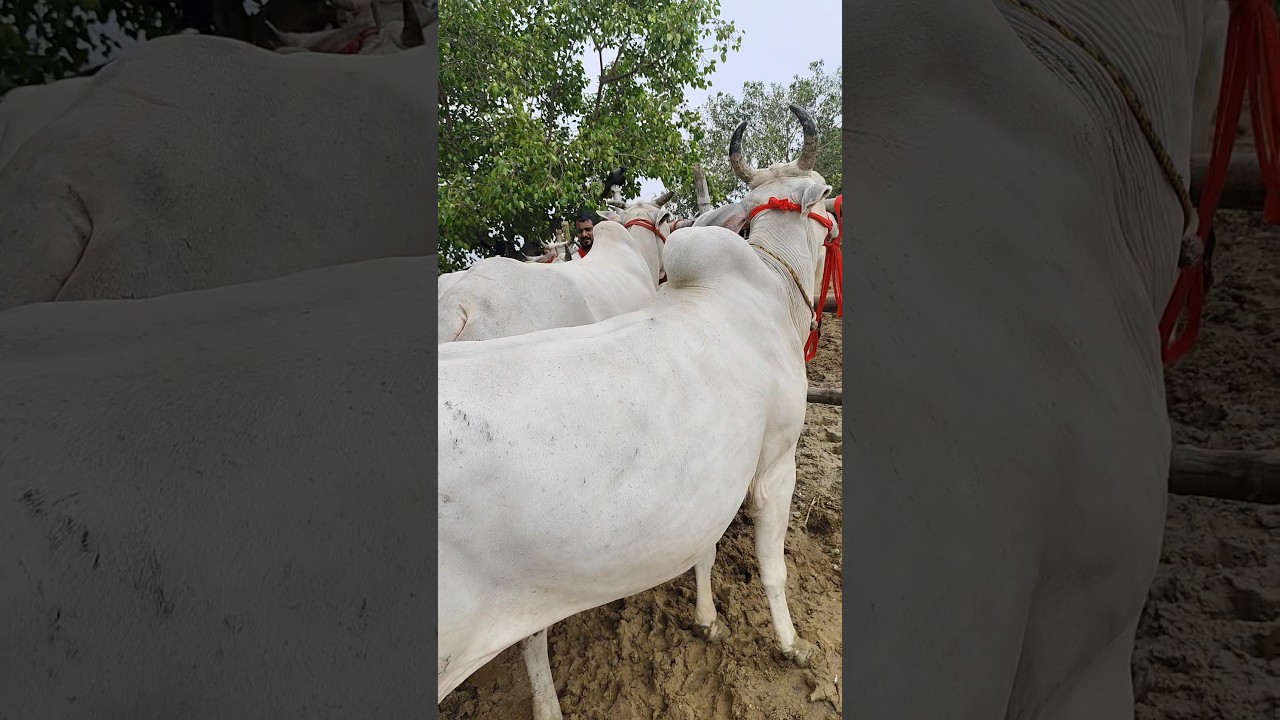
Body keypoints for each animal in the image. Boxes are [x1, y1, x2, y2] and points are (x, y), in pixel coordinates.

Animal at [438, 105, 835, 719]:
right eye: (827, 199)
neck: (763, 284)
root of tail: (455, 305)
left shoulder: (712, 478)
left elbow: (705, 548)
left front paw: (708, 622)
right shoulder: (775, 460)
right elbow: (773, 567)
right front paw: (792, 644)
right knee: (532, 638)